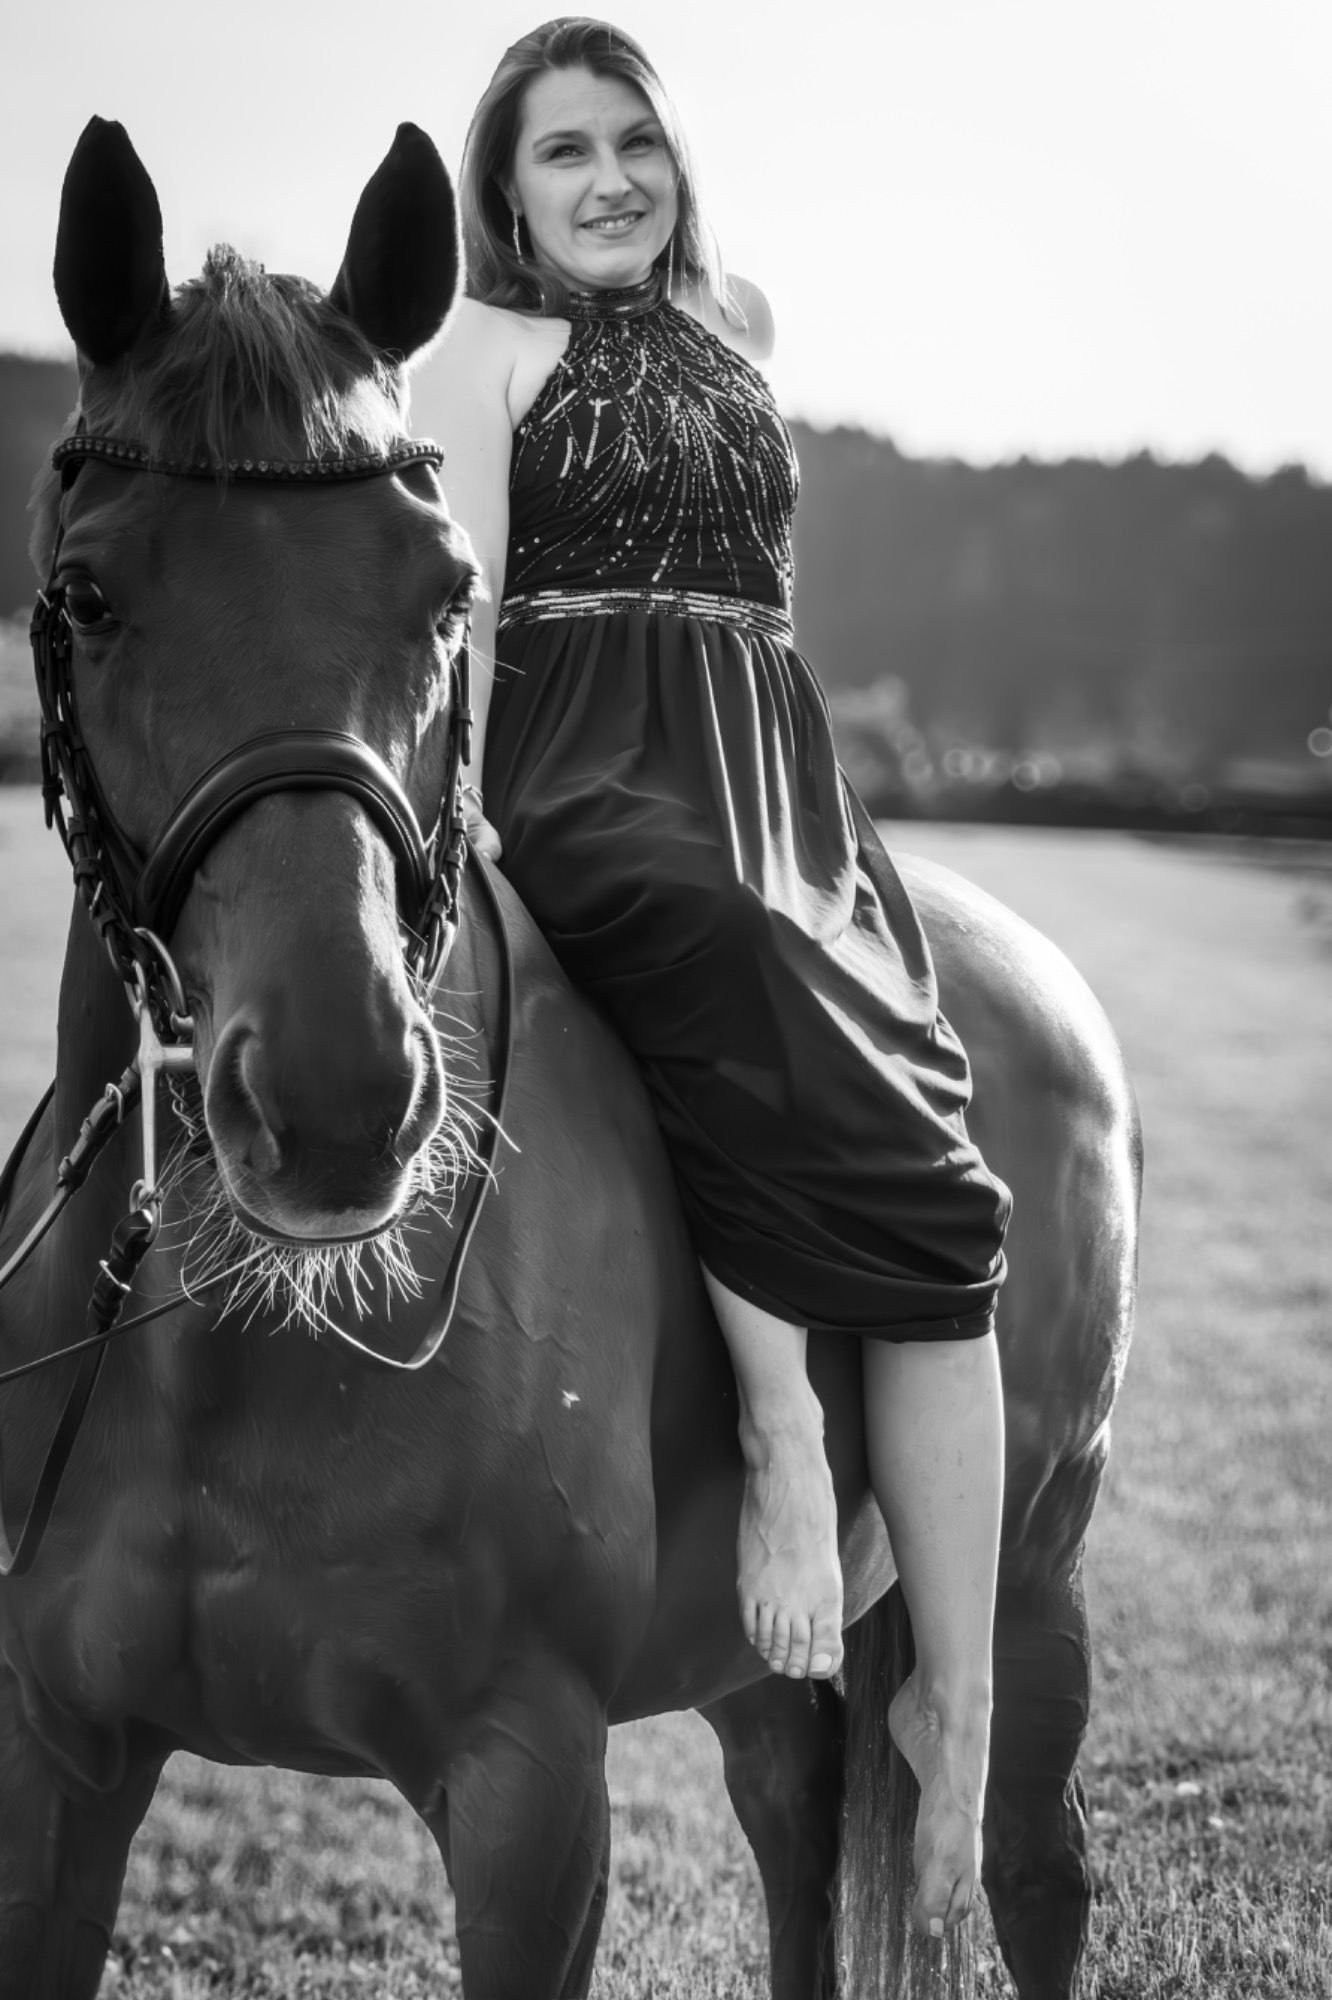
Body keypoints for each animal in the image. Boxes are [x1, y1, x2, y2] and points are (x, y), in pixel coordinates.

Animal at [0, 118, 1139, 2000]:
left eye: (447, 590)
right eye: (88, 595)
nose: (336, 1104)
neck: (228, 1345)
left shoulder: (529, 1793)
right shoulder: (55, 1762)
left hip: (1033, 1575)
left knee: (1027, 1859)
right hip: (769, 1668)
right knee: (798, 1830)